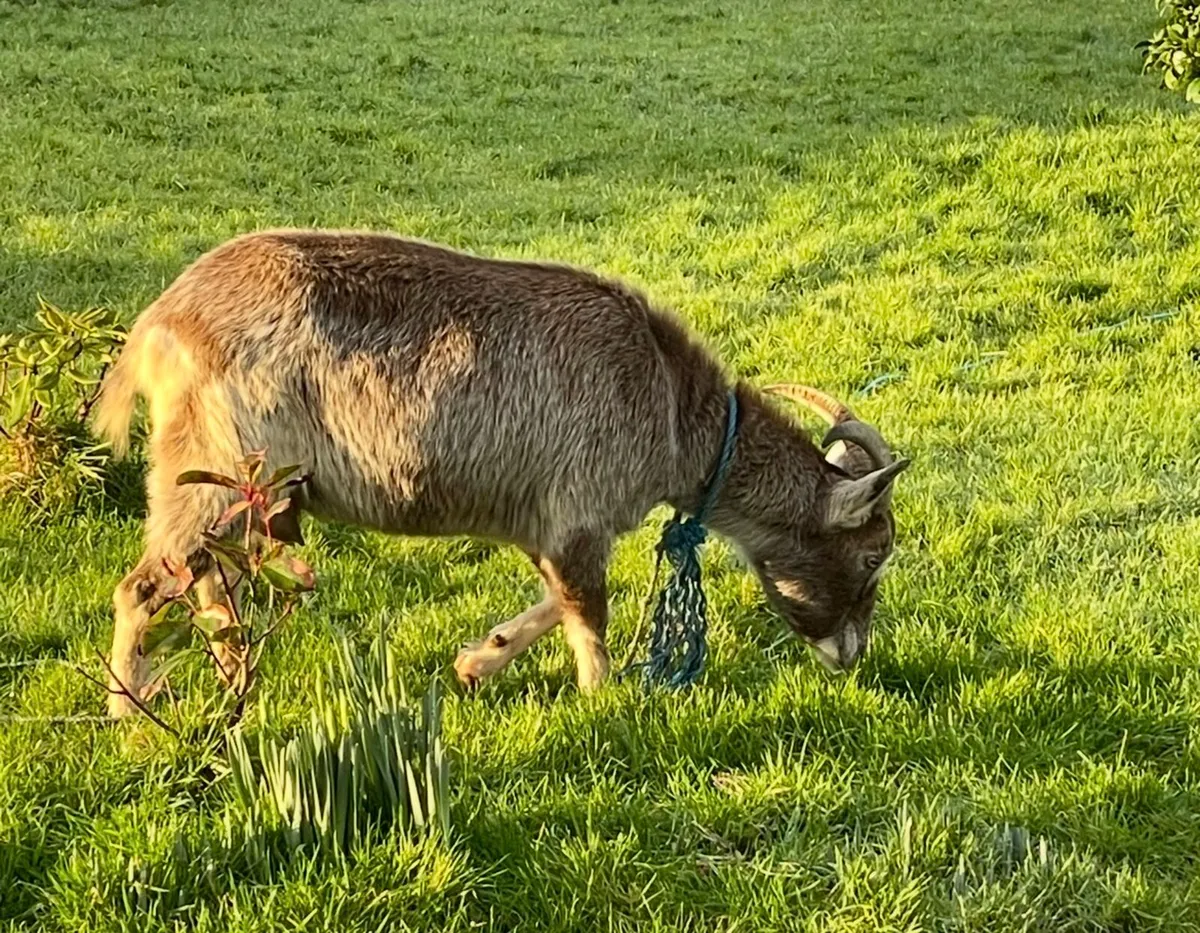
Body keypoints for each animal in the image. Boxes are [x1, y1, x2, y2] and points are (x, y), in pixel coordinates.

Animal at [93, 229, 909, 717]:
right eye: (873, 554)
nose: (851, 653)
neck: (672, 405)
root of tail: (160, 323)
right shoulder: (580, 510)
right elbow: (588, 614)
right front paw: (600, 701)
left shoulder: (544, 518)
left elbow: (555, 599)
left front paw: (478, 661)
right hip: (215, 468)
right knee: (146, 585)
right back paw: (132, 713)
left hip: (240, 491)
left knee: (207, 579)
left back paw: (235, 679)